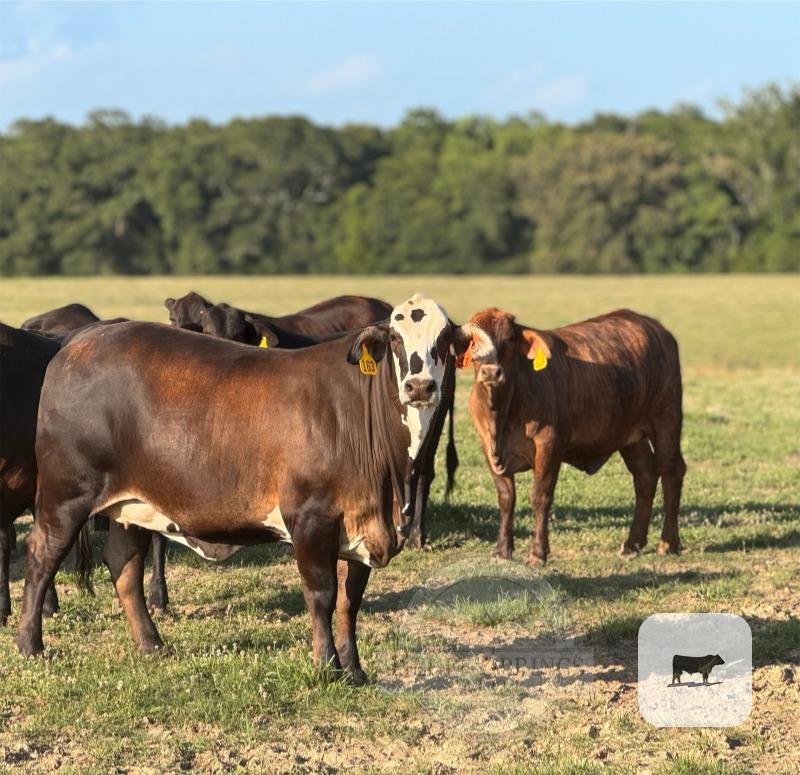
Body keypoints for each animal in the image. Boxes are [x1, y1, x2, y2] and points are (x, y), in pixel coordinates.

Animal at [17, 295, 473, 682]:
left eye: (444, 339)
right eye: (396, 338)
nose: (419, 386)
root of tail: (78, 343)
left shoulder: (363, 522)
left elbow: (349, 601)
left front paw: (355, 670)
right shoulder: (311, 518)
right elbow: (322, 594)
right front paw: (327, 666)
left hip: (132, 504)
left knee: (123, 564)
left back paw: (152, 644)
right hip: (66, 493)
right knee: (42, 554)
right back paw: (29, 643)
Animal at [463, 307, 686, 565]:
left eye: (509, 339)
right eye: (473, 342)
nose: (491, 372)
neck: (501, 412)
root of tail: (655, 328)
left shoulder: (549, 444)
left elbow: (540, 496)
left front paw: (538, 553)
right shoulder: (488, 449)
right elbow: (506, 497)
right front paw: (502, 550)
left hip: (666, 419)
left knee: (671, 471)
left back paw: (668, 542)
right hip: (630, 435)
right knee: (645, 477)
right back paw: (633, 543)